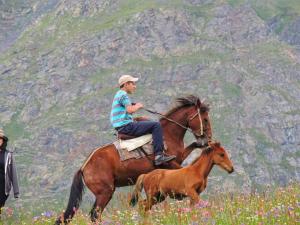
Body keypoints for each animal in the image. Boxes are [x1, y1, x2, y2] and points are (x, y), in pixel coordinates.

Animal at [55, 95, 212, 223]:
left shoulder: (179, 157)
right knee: (95, 215)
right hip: (104, 193)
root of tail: (84, 167)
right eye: (205, 119)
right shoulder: (170, 163)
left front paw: (201, 144)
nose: (208, 138)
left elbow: (192, 147)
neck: (168, 134)